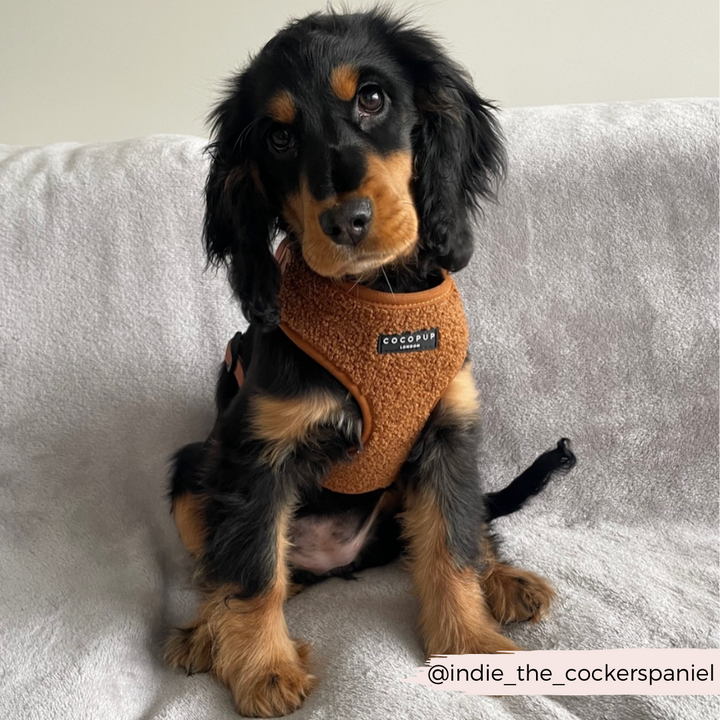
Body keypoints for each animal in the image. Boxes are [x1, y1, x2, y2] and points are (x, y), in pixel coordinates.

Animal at [166, 8, 576, 716]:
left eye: (373, 99)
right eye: (278, 138)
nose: (347, 222)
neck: (376, 301)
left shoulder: (449, 434)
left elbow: (450, 546)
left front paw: (470, 645)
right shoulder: (256, 457)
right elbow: (251, 573)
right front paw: (264, 670)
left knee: (469, 527)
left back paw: (503, 578)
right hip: (195, 469)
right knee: (232, 564)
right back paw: (204, 632)